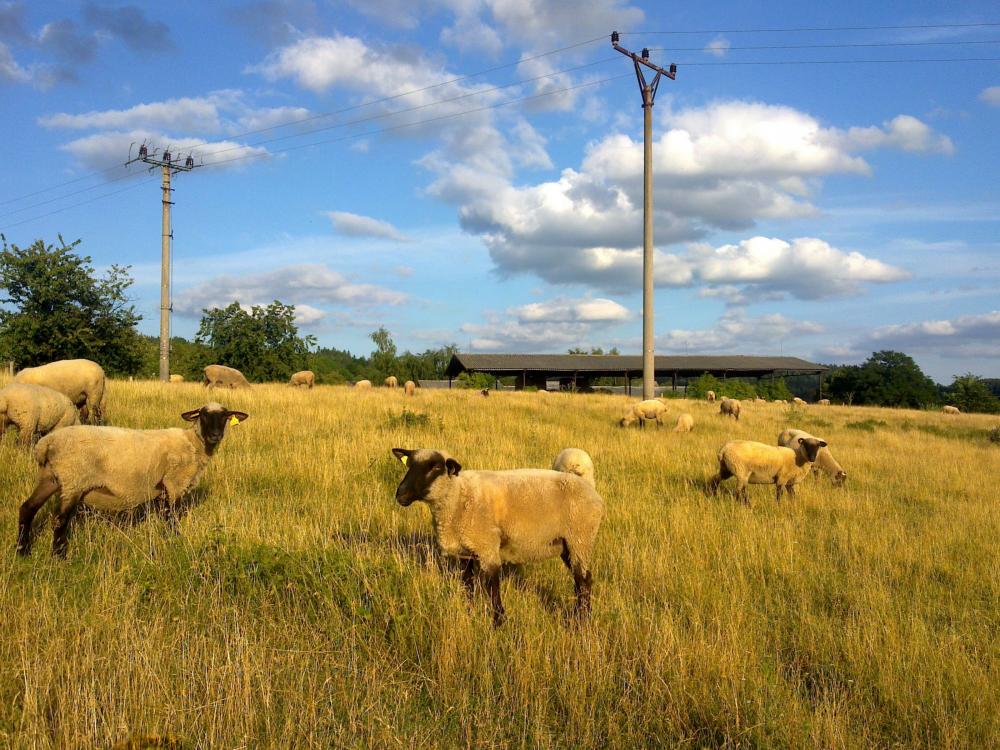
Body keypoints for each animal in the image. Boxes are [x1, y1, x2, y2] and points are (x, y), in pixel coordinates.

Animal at [15, 406, 248, 560]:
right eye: (204, 415)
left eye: (225, 416)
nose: (216, 435)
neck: (193, 444)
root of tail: (46, 443)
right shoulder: (174, 483)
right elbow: (173, 519)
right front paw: (176, 543)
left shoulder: (162, 489)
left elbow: (165, 517)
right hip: (73, 481)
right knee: (60, 520)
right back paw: (59, 556)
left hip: (50, 477)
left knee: (28, 508)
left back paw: (22, 551)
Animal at [392, 450, 604, 624]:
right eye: (409, 465)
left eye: (436, 467)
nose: (400, 494)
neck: (458, 496)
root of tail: (588, 485)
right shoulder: (465, 553)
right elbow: (467, 584)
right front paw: (470, 613)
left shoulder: (487, 547)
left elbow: (492, 586)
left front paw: (498, 621)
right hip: (567, 544)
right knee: (580, 580)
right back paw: (581, 615)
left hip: (580, 539)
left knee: (584, 580)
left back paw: (581, 621)